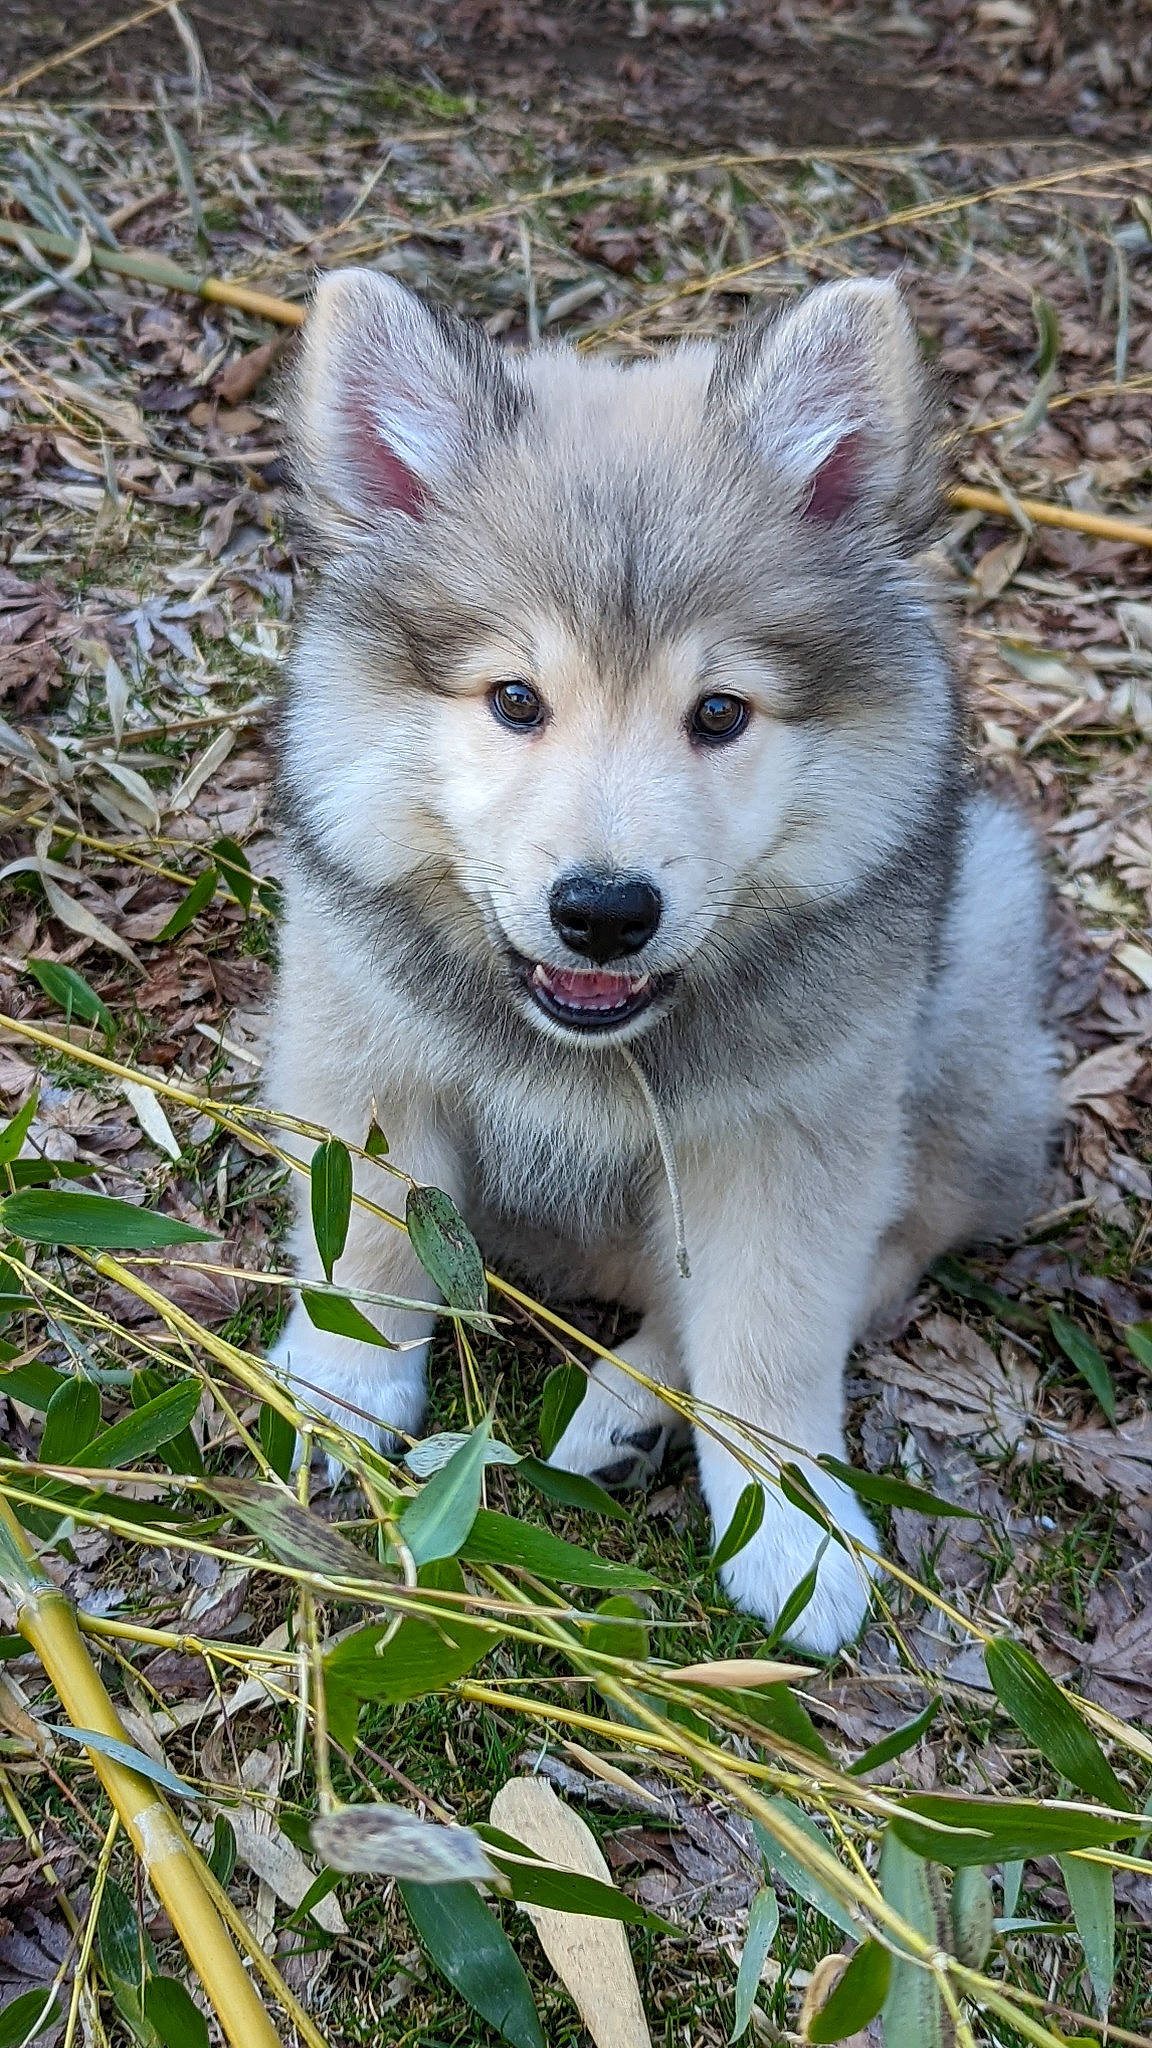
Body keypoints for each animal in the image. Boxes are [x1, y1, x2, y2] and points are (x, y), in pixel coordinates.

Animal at [267, 268, 1057, 1653]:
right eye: (515, 700)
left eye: (721, 713)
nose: (603, 911)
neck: (586, 1041)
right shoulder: (360, 1047)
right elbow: (365, 1234)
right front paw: (346, 1379)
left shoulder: (796, 1139)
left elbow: (776, 1330)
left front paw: (796, 1528)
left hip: (975, 974)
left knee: (882, 1253)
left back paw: (629, 1404)